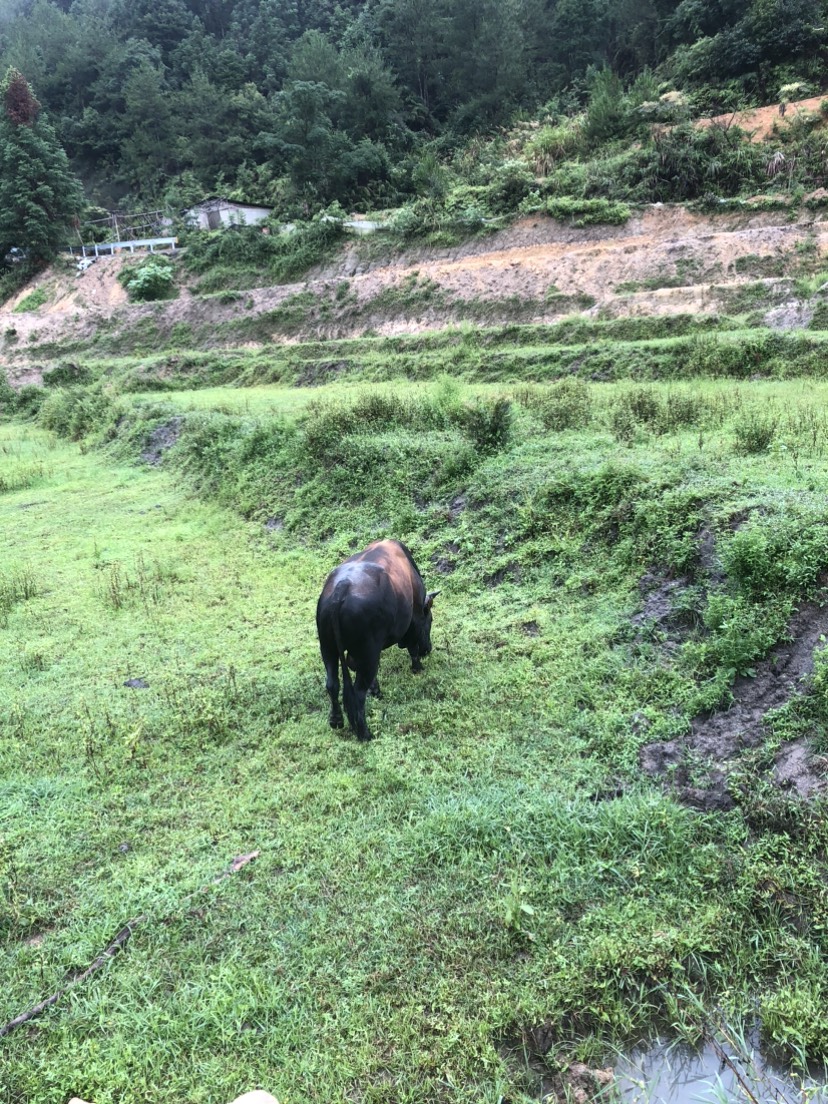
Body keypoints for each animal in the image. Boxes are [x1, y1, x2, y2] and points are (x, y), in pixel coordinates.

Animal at [315, 540, 441, 741]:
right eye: (430, 620)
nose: (427, 649)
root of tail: (342, 588)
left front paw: (375, 689)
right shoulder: (413, 622)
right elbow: (412, 648)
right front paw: (417, 667)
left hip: (328, 648)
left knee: (332, 684)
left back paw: (336, 721)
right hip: (368, 650)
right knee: (358, 693)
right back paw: (365, 734)